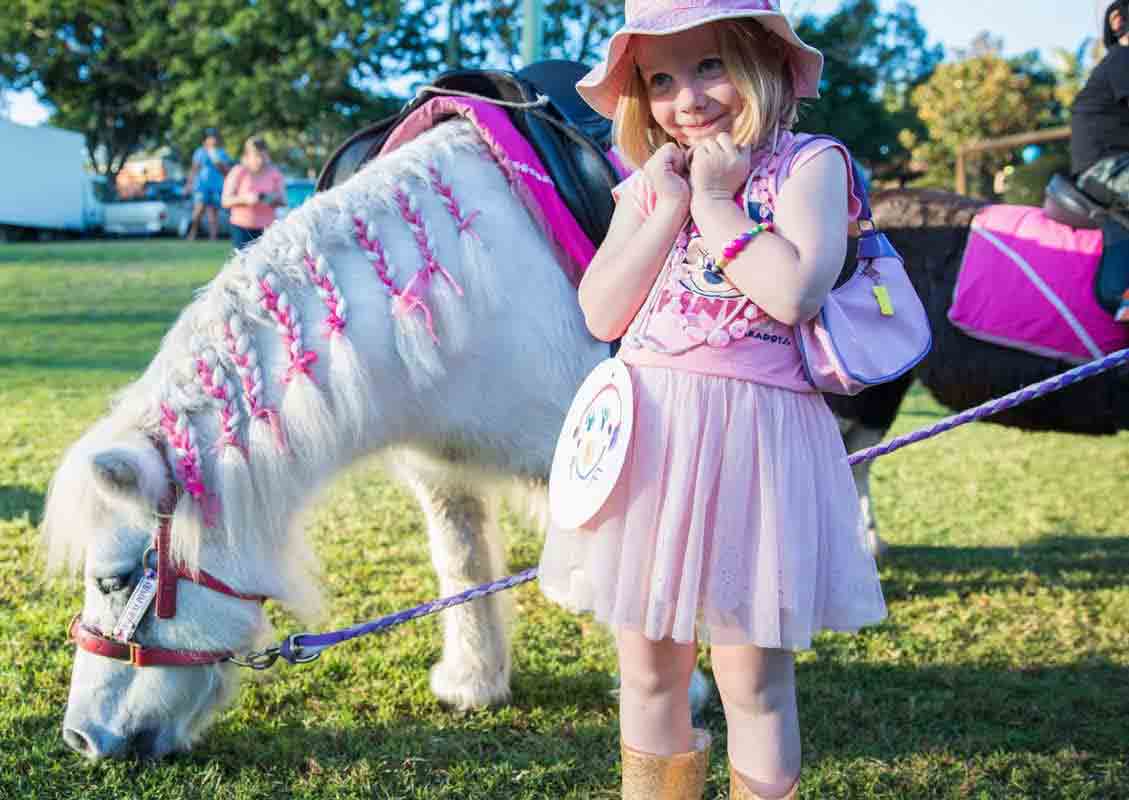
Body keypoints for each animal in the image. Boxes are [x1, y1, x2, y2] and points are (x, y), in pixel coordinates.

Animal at [46, 120, 713, 762]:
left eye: (114, 580)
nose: (82, 738)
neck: (471, 295)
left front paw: (674, 698)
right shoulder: (444, 471)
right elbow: (461, 563)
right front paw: (475, 682)